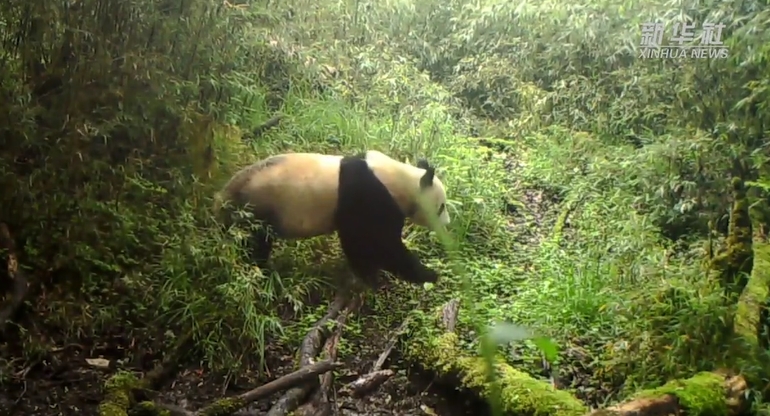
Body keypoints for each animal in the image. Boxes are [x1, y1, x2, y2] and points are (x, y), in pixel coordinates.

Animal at [218, 151, 450, 288]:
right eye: (442, 206)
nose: (447, 224)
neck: (400, 179)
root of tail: (225, 195)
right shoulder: (370, 196)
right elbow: (380, 244)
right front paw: (429, 275)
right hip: (257, 208)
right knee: (254, 242)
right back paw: (261, 270)